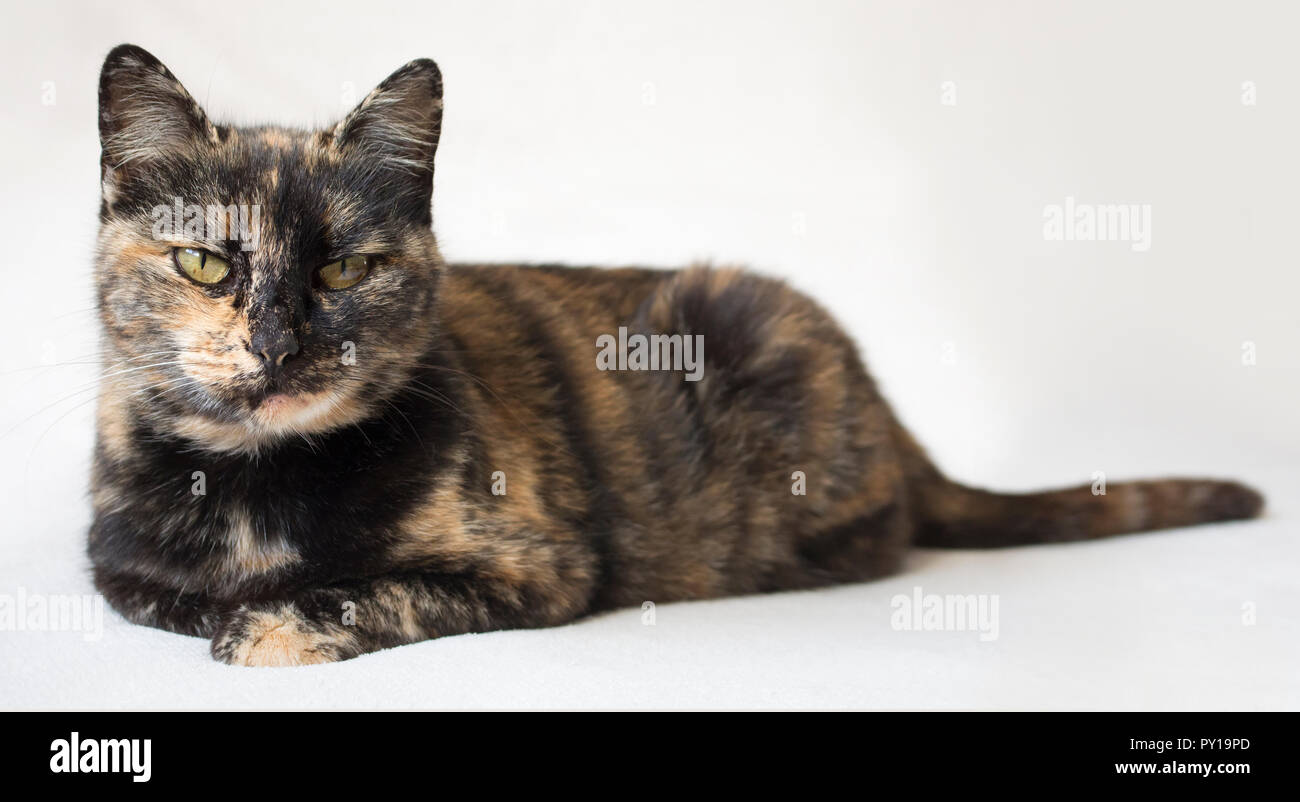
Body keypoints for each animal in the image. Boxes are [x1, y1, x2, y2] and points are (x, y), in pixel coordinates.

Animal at [94, 46, 1268, 665]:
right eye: (205, 262)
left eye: (346, 269)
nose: (278, 339)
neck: (260, 484)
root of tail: (895, 418)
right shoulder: (113, 566)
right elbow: (158, 594)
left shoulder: (539, 568)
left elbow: (344, 595)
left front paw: (265, 623)